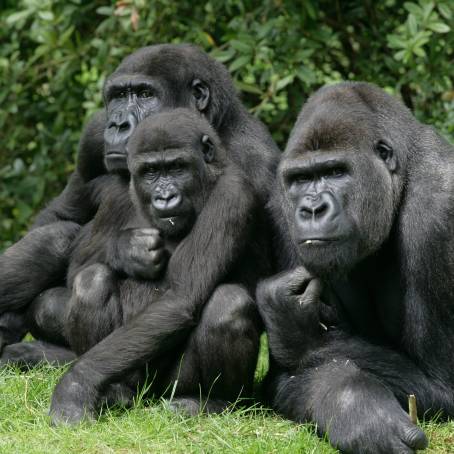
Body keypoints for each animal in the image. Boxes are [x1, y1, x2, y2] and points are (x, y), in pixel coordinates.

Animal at [0, 43, 278, 354]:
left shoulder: (256, 158)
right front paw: (128, 249)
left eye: (146, 94)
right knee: (58, 236)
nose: (118, 124)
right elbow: (61, 216)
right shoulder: (93, 134)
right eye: (119, 96)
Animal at [258, 81, 454, 454]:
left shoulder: (438, 213)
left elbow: (444, 383)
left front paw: (296, 330)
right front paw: (354, 407)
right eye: (301, 179)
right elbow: (289, 377)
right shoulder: (277, 205)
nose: (312, 209)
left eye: (336, 172)